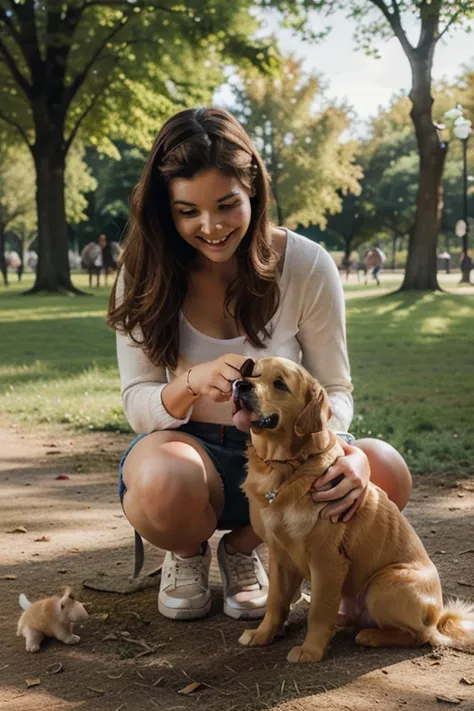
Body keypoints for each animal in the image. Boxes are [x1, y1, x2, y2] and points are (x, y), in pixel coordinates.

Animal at [232, 358, 474, 664]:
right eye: (250, 371)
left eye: (280, 384)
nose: (240, 384)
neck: (287, 468)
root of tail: (437, 616)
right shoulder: (278, 555)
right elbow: (275, 602)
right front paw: (263, 634)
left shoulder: (327, 560)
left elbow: (318, 611)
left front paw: (310, 650)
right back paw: (345, 624)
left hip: (383, 585)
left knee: (419, 635)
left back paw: (371, 636)